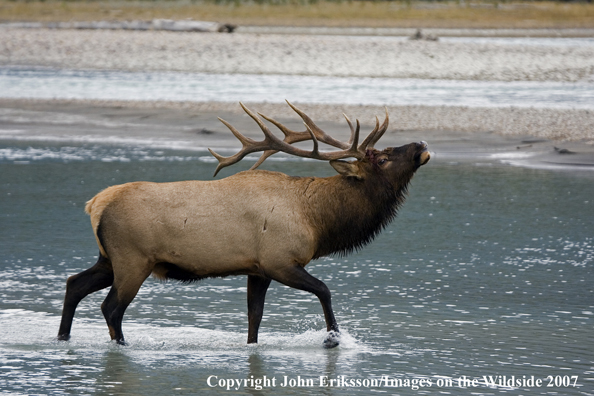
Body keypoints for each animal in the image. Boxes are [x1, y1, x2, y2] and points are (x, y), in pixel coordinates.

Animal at [57, 101, 428, 346]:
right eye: (382, 158)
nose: (422, 143)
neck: (317, 220)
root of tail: (96, 204)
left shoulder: (257, 269)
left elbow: (254, 319)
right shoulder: (279, 260)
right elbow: (324, 289)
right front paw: (334, 338)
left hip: (110, 258)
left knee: (74, 284)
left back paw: (63, 339)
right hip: (133, 259)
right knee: (111, 308)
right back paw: (121, 346)